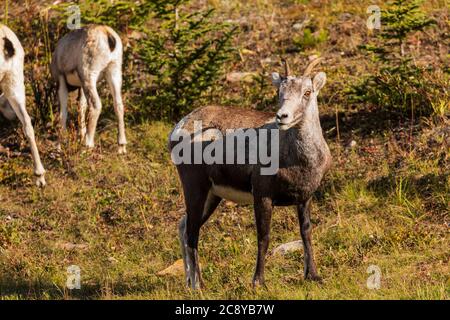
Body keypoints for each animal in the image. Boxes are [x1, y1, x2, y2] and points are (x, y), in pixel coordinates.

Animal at [51, 25, 127, 154]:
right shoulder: (81, 86)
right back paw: (121, 147)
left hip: (89, 77)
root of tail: (107, 34)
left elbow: (63, 113)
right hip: (114, 73)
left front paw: (58, 147)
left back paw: (87, 146)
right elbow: (81, 106)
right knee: (118, 105)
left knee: (95, 105)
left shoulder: (61, 82)